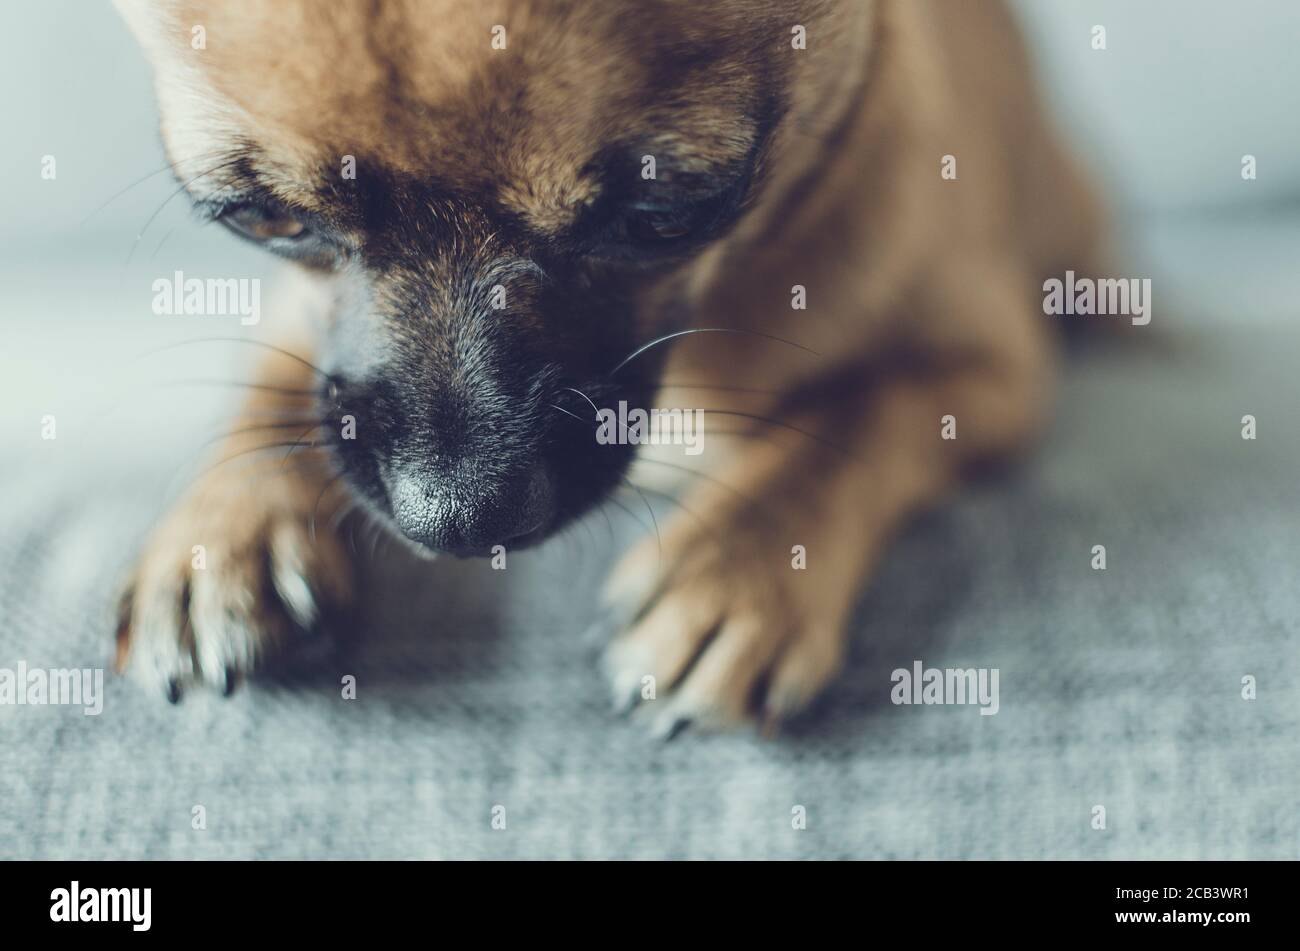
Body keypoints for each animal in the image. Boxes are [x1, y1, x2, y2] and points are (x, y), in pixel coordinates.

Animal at [114, 0, 1107, 737]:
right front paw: (220, 533)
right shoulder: (299, 321)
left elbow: (853, 417)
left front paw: (734, 569)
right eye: (265, 219)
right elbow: (278, 385)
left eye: (662, 216)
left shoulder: (990, 374)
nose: (455, 519)